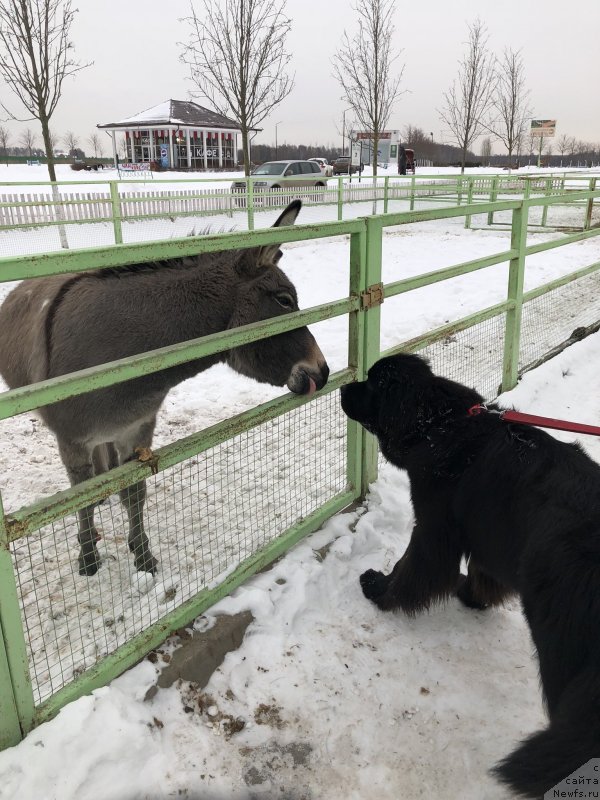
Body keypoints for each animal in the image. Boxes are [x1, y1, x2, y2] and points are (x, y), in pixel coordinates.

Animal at [340, 356, 600, 800]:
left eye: (374, 384)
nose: (340, 387)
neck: (437, 425)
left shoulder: (434, 525)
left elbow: (412, 567)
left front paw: (380, 590)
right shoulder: (490, 527)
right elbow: (483, 570)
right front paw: (472, 596)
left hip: (562, 649)